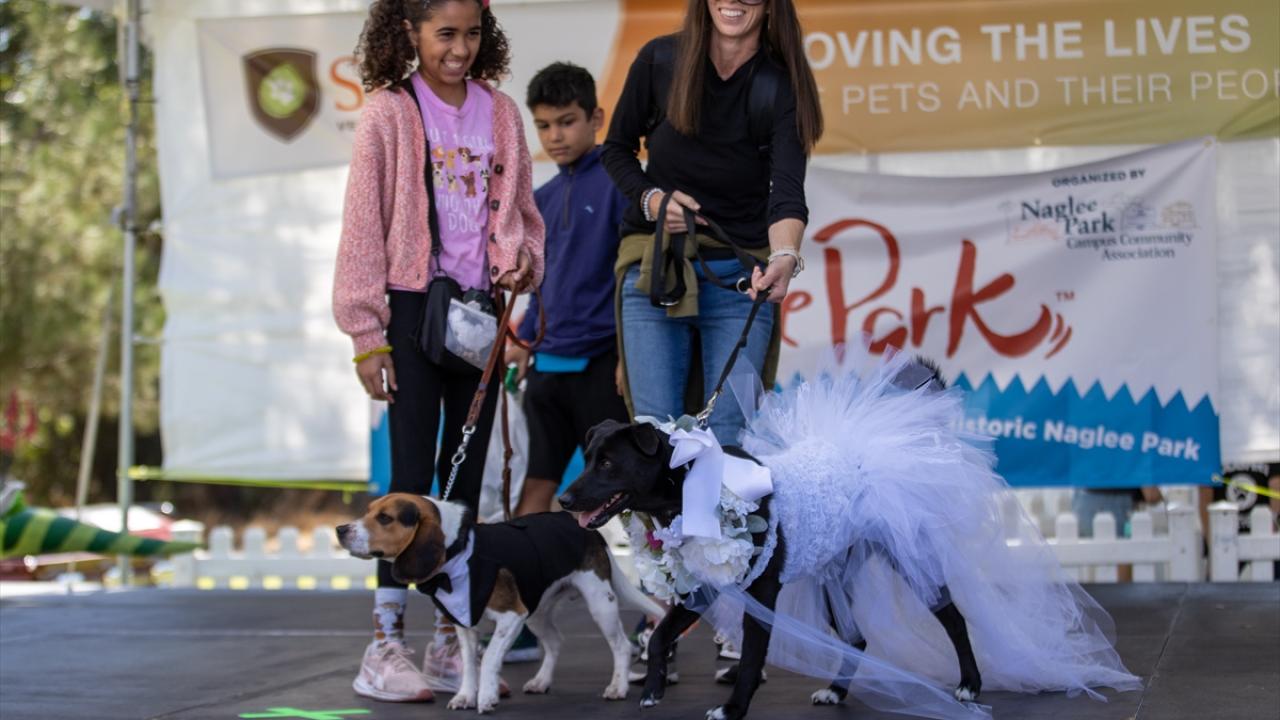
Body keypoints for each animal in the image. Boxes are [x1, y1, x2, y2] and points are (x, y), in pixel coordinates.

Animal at [336, 493, 664, 714]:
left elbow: (491, 657)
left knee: (621, 646)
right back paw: (541, 681)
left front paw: (486, 697)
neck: (457, 553)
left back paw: (618, 687)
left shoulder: (511, 616)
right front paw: (466, 696)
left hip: (599, 603)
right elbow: (470, 664)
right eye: (368, 511)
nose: (340, 529)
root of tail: (585, 527)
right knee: (555, 642)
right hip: (536, 610)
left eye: (385, 518)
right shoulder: (465, 625)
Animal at [558, 416, 982, 720]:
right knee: (857, 638)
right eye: (588, 458)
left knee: (953, 618)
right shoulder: (702, 585)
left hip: (909, 559)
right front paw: (653, 690)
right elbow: (661, 635)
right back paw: (836, 691)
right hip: (830, 576)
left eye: (608, 463)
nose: (563, 500)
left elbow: (750, 658)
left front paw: (732, 709)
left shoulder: (761, 591)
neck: (689, 480)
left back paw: (970, 684)